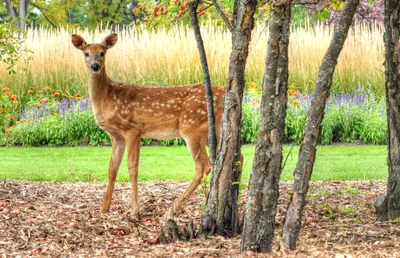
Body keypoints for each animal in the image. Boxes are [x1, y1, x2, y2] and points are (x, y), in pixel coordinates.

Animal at [72, 33, 227, 220]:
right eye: (86, 53)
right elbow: (112, 168)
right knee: (235, 156)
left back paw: (172, 209)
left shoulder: (133, 129)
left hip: (191, 127)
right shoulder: (117, 136)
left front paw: (134, 210)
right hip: (213, 130)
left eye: (102, 53)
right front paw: (104, 207)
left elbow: (132, 168)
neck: (107, 98)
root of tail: (224, 93)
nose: (95, 66)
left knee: (203, 166)